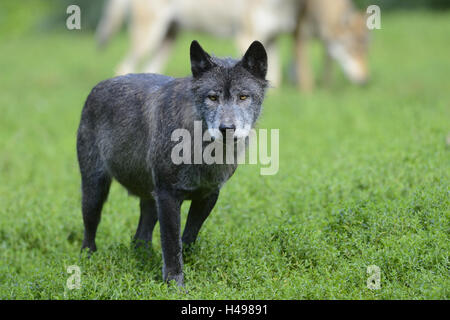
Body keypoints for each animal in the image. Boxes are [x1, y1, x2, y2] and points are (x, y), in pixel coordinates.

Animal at [76, 38, 268, 286]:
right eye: (212, 97)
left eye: (243, 96)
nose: (227, 128)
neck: (203, 149)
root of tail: (97, 87)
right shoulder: (168, 196)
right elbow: (171, 244)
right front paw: (175, 284)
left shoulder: (208, 196)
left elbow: (187, 237)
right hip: (94, 191)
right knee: (90, 230)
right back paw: (88, 258)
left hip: (150, 200)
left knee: (140, 238)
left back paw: (143, 259)